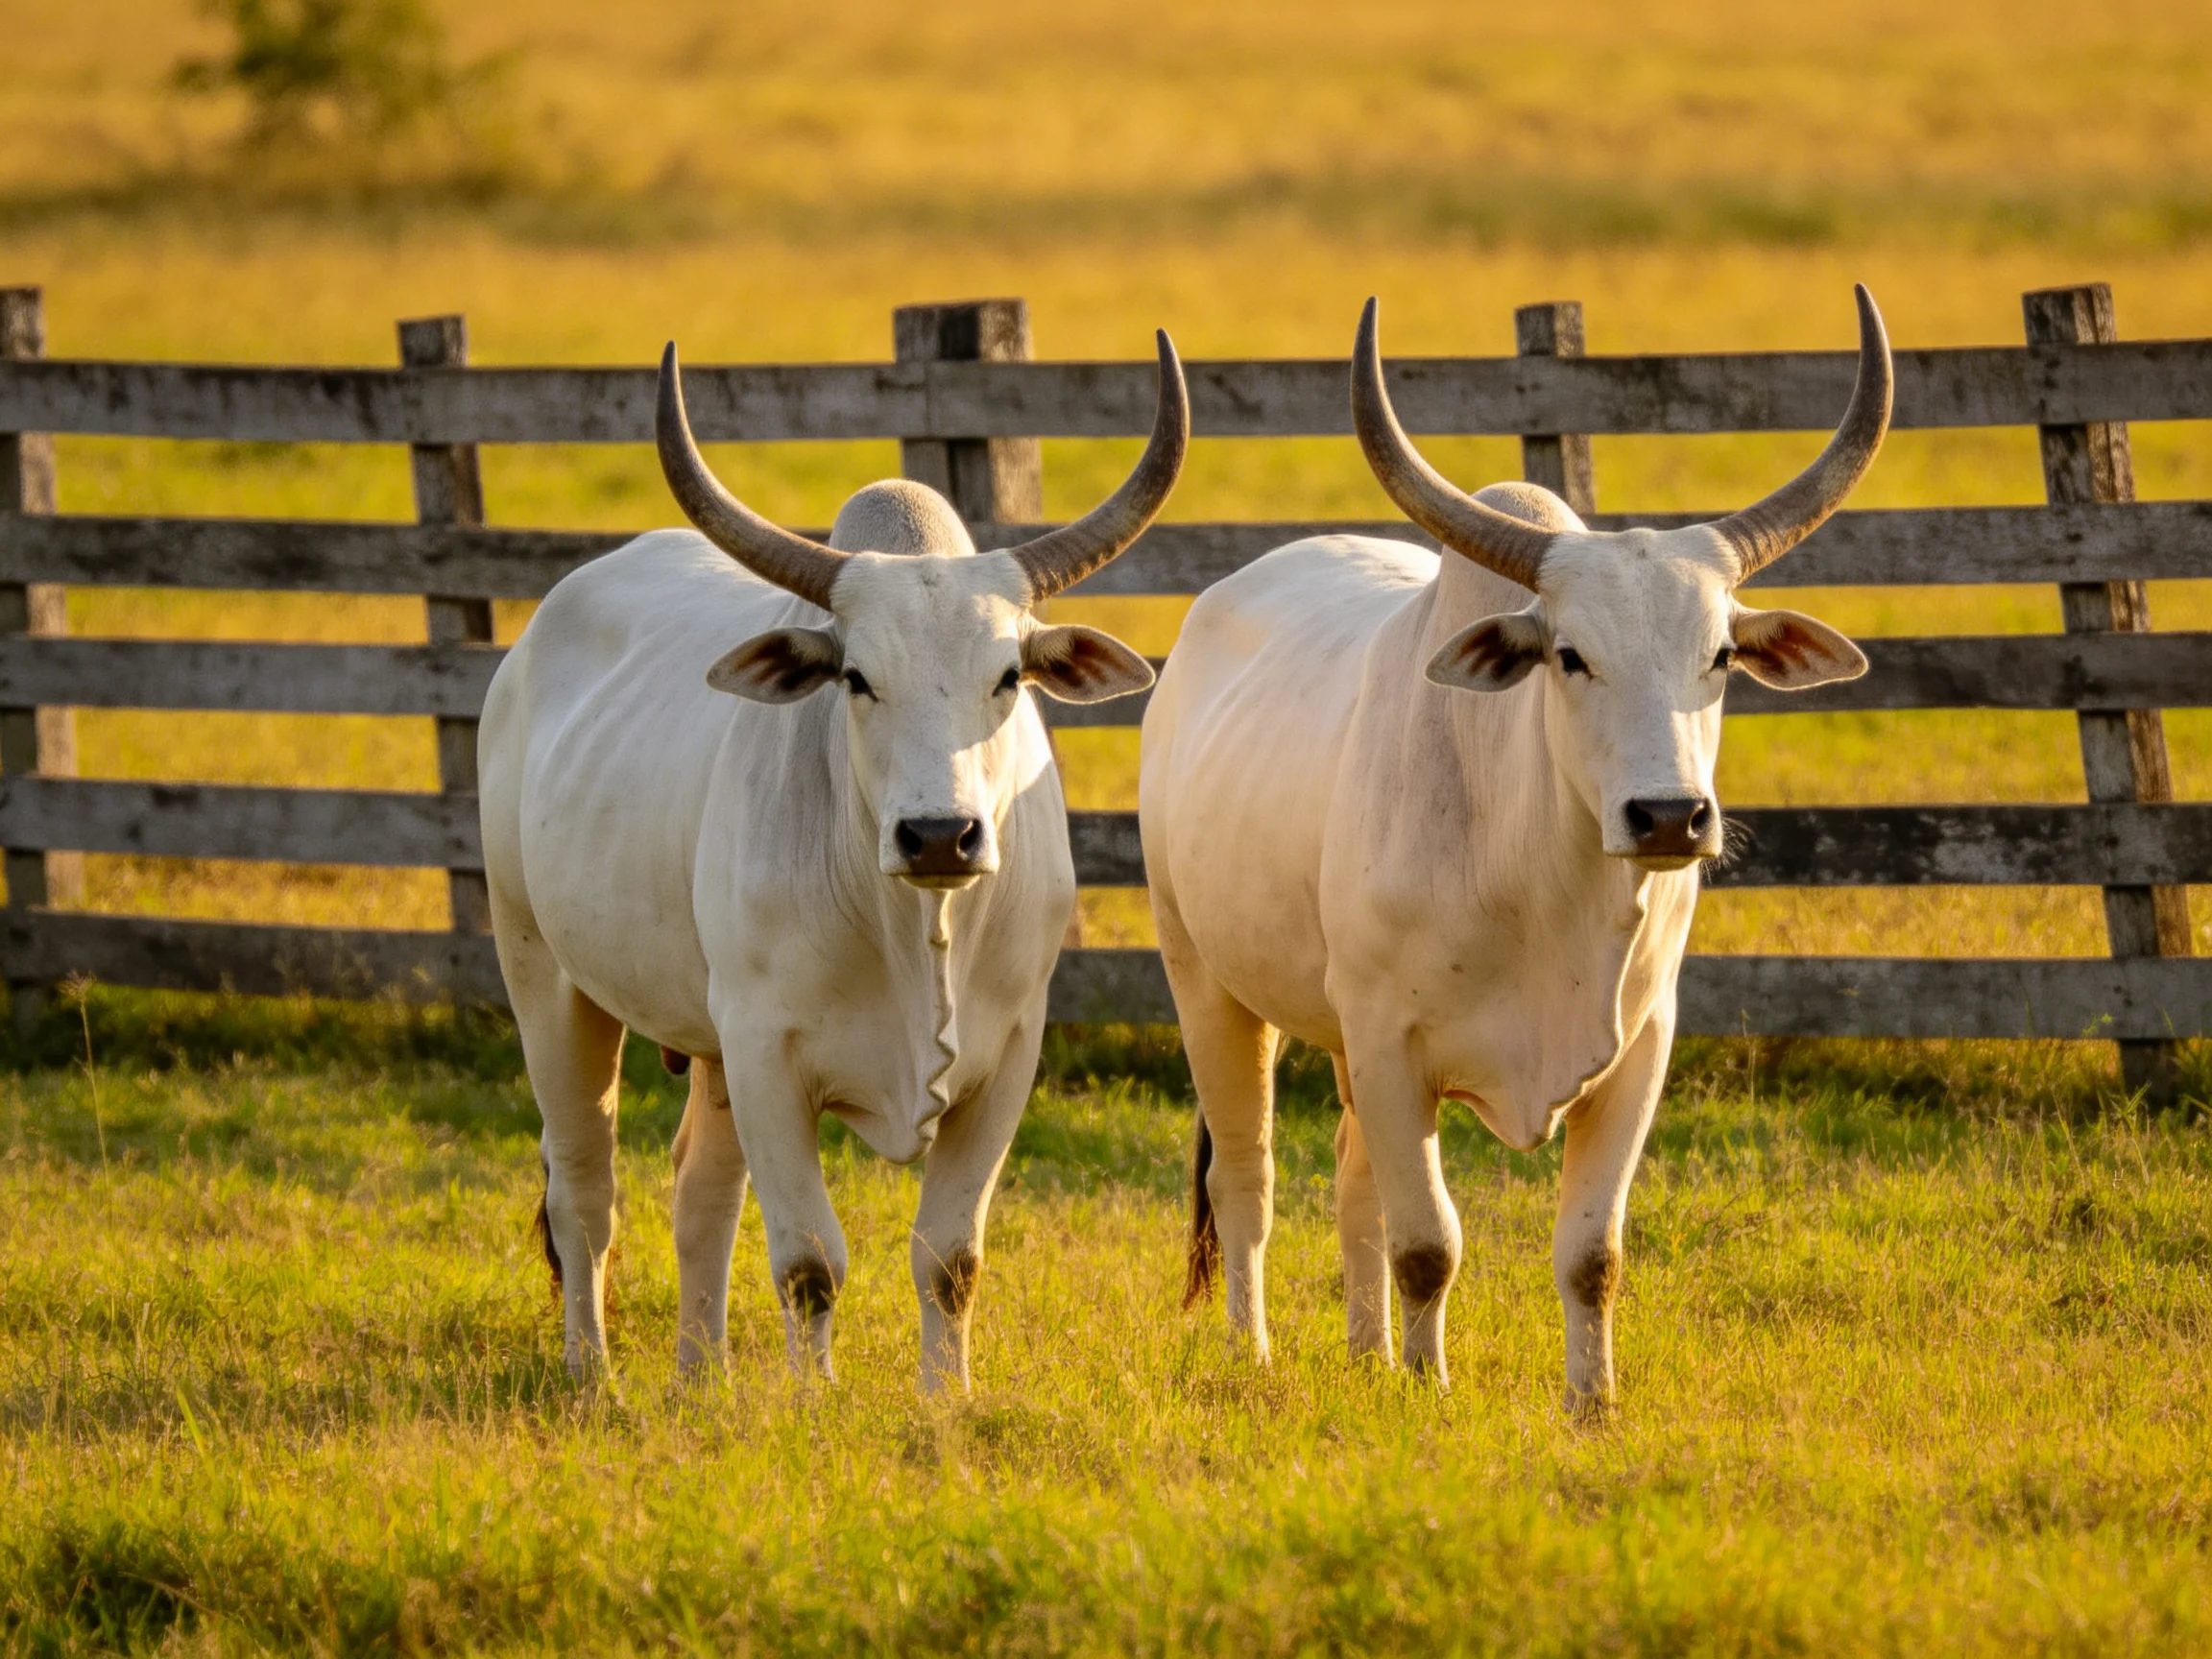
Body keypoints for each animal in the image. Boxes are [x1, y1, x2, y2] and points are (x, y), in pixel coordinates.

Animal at [480, 331, 1187, 1390]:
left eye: (1008, 676)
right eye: (855, 678)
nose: (939, 836)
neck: (915, 933)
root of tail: (526, 648)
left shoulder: (1008, 1057)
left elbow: (950, 1259)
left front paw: (945, 1400)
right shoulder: (767, 1053)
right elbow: (809, 1263)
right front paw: (813, 1401)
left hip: (704, 1045)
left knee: (699, 1193)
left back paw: (702, 1379)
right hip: (546, 978)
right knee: (583, 1193)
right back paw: (592, 1377)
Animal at [1140, 288, 1890, 1409]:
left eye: (1720, 655)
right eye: (1569, 655)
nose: (1669, 818)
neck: (1542, 889)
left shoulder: (1639, 1049)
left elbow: (1591, 1252)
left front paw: (1592, 1405)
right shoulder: (1393, 1045)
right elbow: (1428, 1246)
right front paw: (1430, 1391)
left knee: (1353, 1182)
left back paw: (1365, 1354)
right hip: (1208, 985)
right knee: (1247, 1180)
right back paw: (1254, 1352)